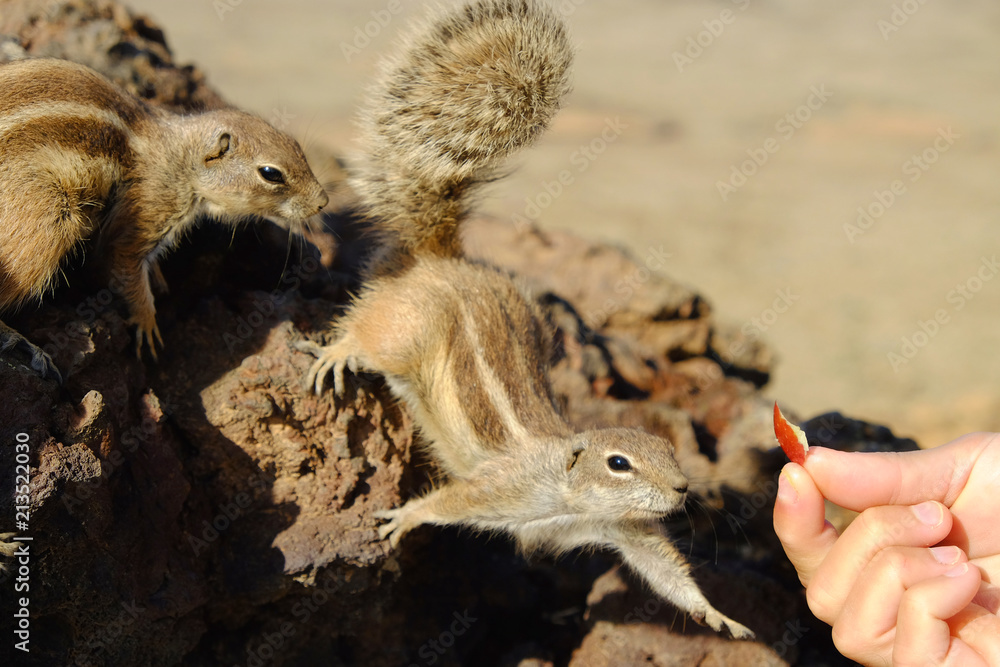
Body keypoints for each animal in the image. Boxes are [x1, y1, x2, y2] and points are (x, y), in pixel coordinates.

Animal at [0, 57, 329, 380]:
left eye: (296, 145)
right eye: (271, 173)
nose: (323, 202)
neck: (181, 153)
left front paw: (157, 277)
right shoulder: (152, 204)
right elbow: (122, 260)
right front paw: (147, 322)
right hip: (49, 217)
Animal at [300, 0, 753, 639]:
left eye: (670, 450)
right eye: (619, 464)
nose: (683, 488)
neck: (568, 492)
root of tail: (442, 258)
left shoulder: (624, 531)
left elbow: (661, 567)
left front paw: (718, 616)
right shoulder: (501, 488)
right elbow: (449, 502)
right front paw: (408, 516)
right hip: (404, 331)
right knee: (368, 335)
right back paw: (338, 353)